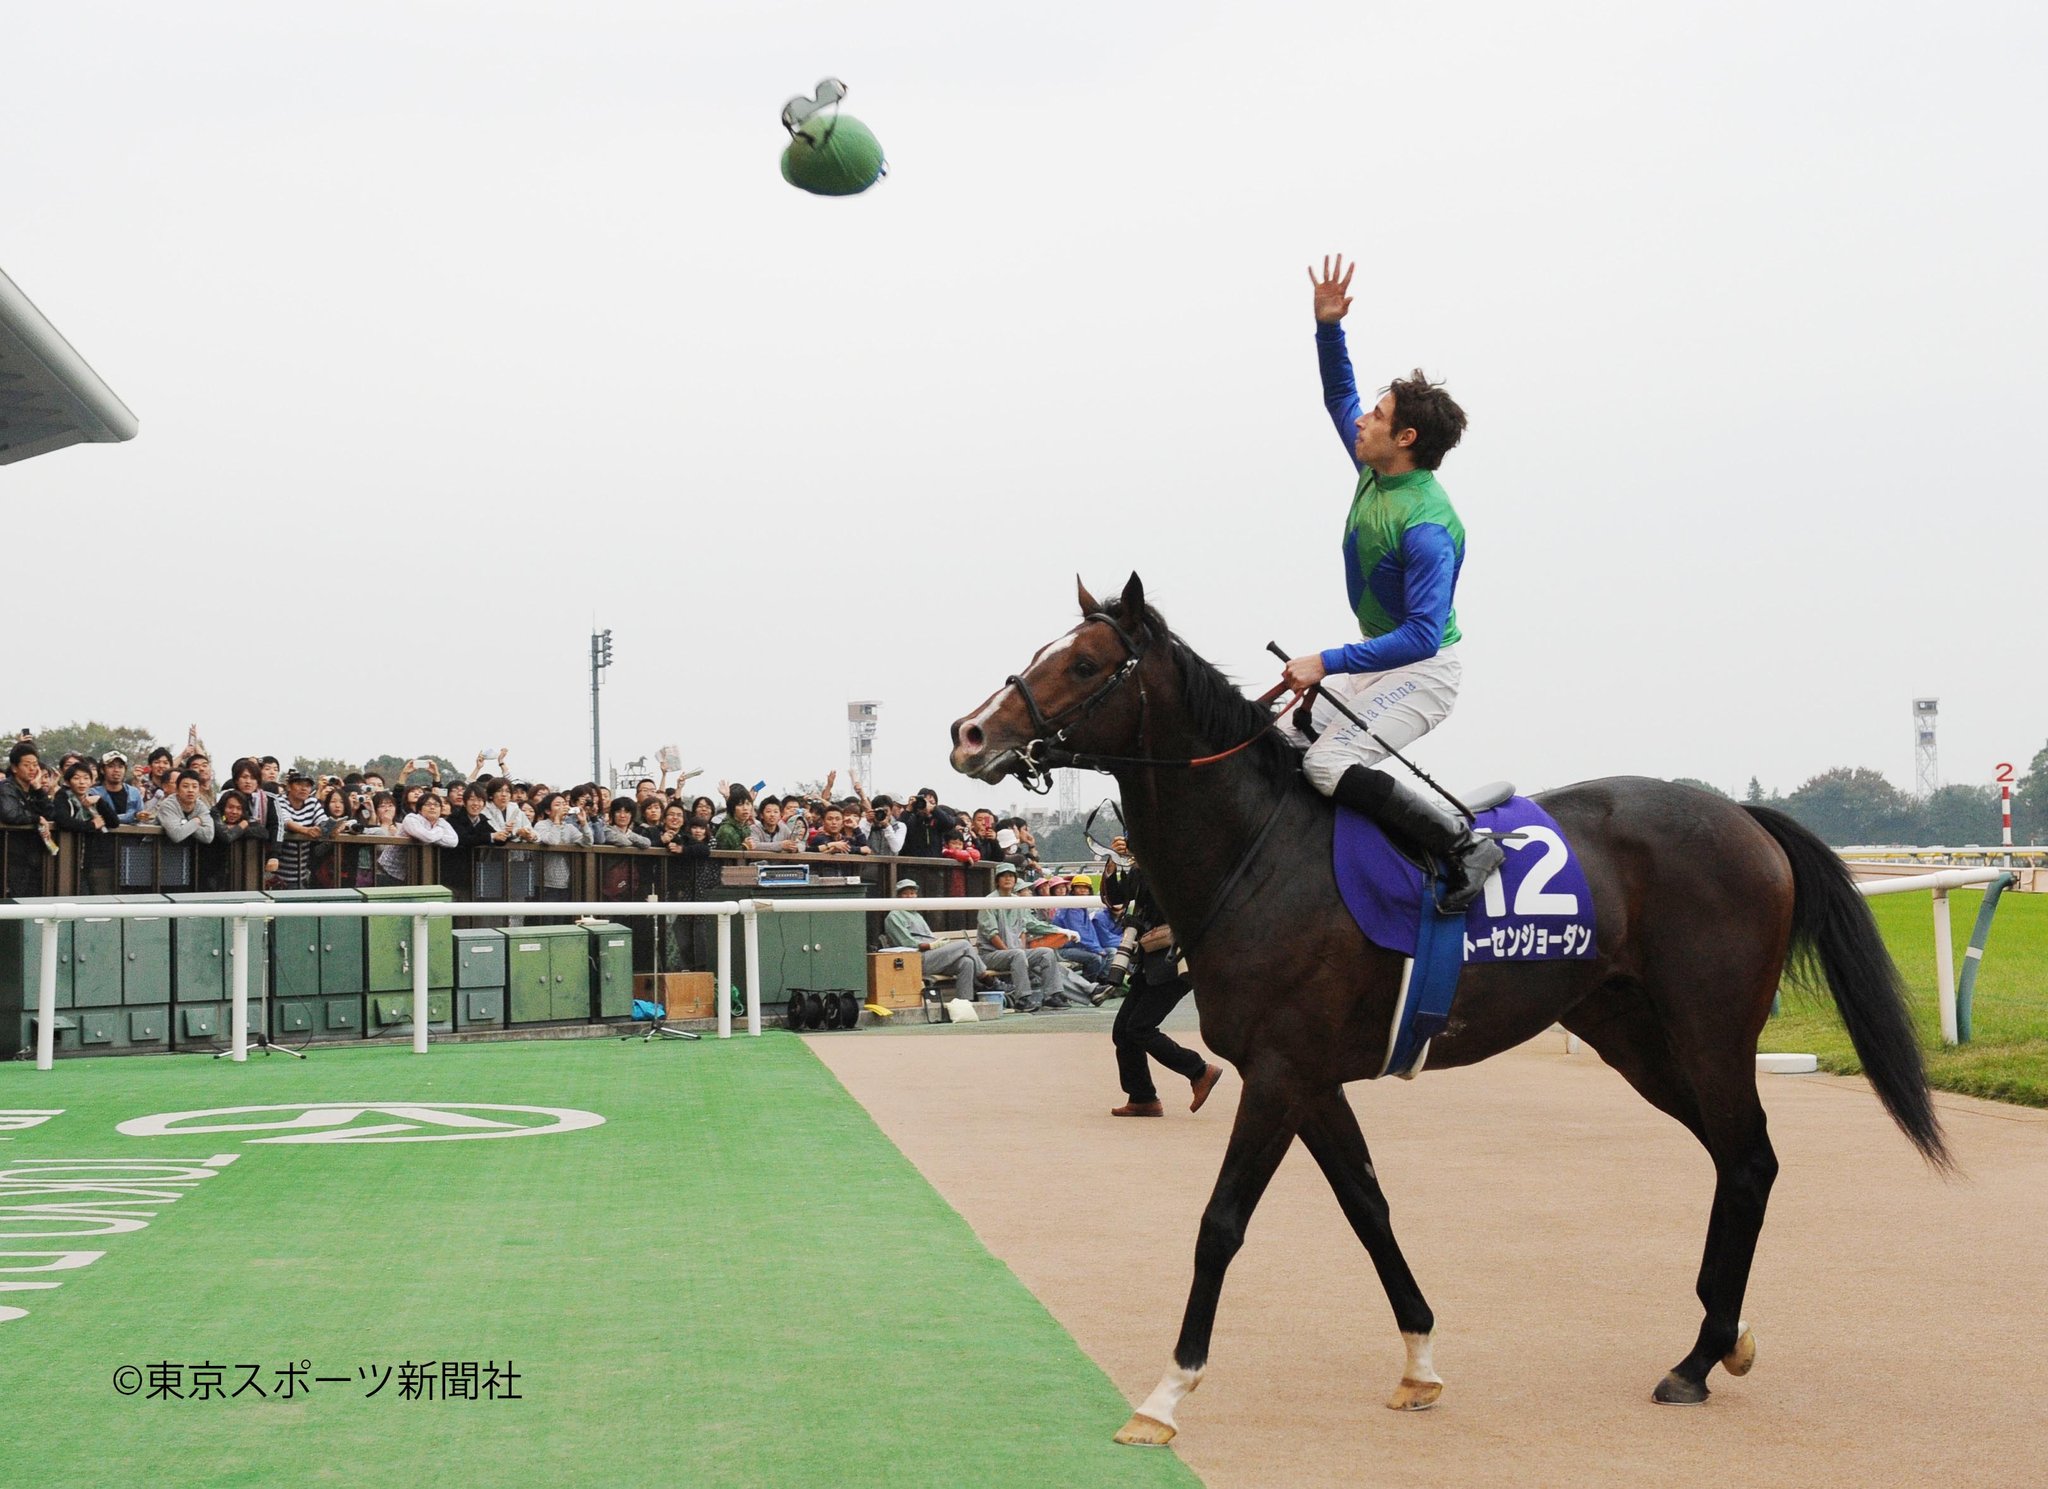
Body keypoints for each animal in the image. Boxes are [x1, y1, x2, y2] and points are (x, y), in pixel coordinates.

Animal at [948, 572, 1948, 1447]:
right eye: (1039, 652)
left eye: (1084, 663)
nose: (968, 732)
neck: (1261, 854)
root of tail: (1744, 818)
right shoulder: (1312, 1078)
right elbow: (1367, 1205)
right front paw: (1419, 1362)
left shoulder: (1276, 1072)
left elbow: (1221, 1223)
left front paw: (1165, 1394)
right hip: (1632, 1034)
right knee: (1738, 1158)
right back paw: (1723, 1335)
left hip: (1710, 1028)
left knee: (1746, 1158)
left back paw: (1698, 1359)